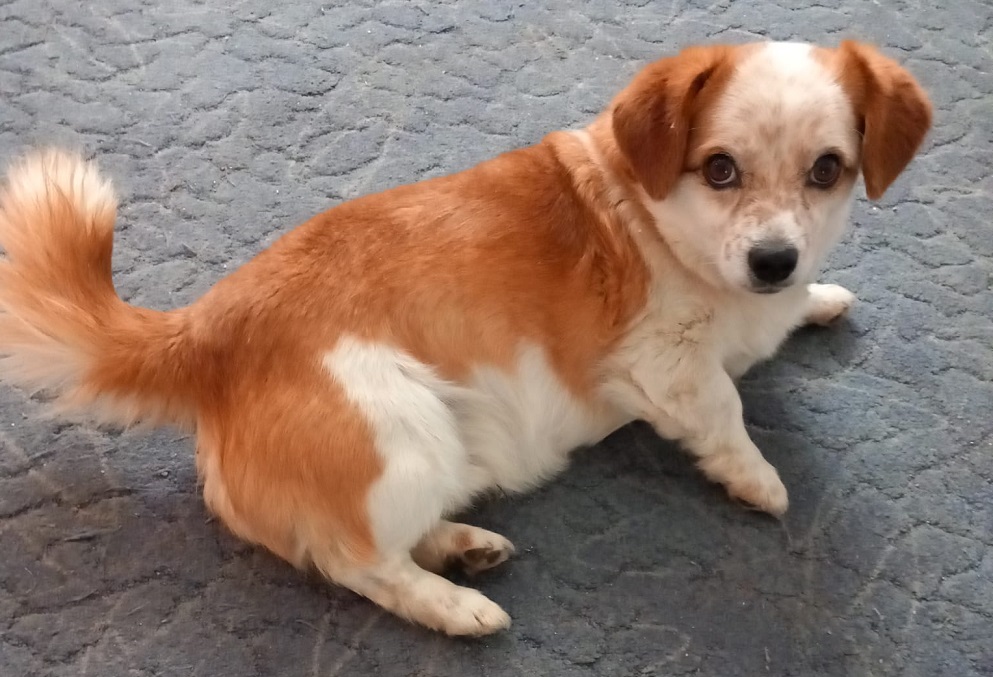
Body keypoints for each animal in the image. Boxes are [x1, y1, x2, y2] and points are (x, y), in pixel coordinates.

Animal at [0, 40, 931, 636]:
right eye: (720, 169)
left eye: (827, 170)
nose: (774, 260)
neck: (670, 231)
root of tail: (205, 334)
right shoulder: (666, 368)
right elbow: (726, 412)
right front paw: (758, 477)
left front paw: (816, 296)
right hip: (404, 437)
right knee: (356, 560)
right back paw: (455, 606)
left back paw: (464, 548)